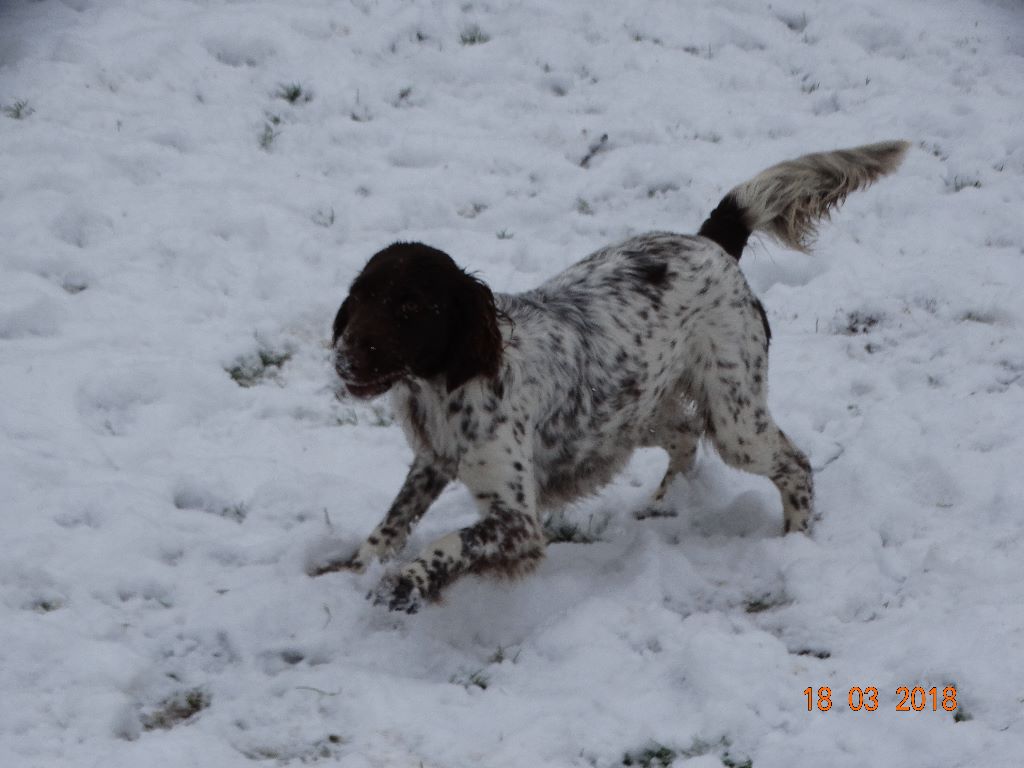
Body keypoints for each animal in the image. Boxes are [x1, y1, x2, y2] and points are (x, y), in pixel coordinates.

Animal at [315, 143, 909, 614]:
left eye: (411, 308)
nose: (343, 359)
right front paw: (354, 568)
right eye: (359, 297)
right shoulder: (432, 461)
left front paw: (404, 584)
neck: (446, 387)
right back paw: (664, 504)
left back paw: (796, 538)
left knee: (795, 463)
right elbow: (393, 522)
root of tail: (713, 242)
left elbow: (448, 543)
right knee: (685, 435)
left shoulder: (517, 519)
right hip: (631, 412)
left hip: (733, 416)